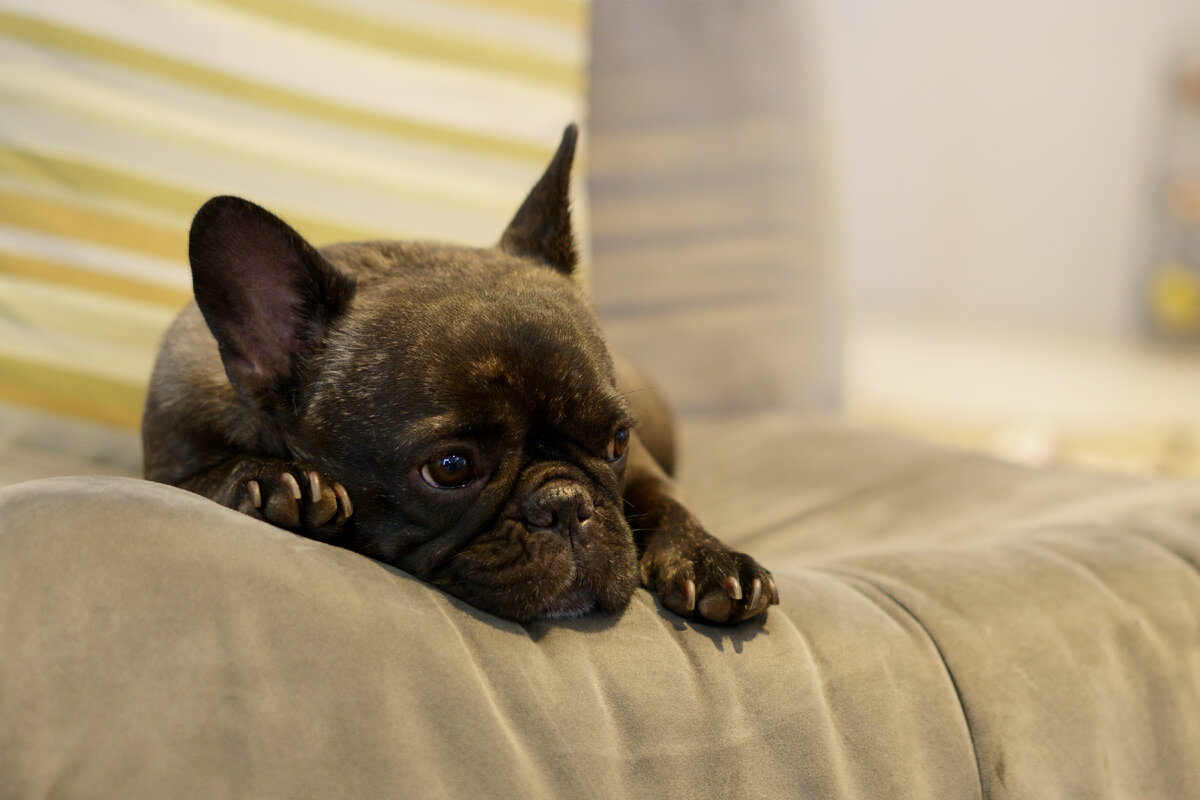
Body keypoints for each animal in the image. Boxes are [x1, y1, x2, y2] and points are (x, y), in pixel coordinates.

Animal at [142, 125, 777, 623]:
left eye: (618, 440)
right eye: (450, 468)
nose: (567, 503)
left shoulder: (644, 465)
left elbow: (670, 498)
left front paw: (710, 558)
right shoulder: (169, 451)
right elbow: (196, 480)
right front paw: (273, 480)